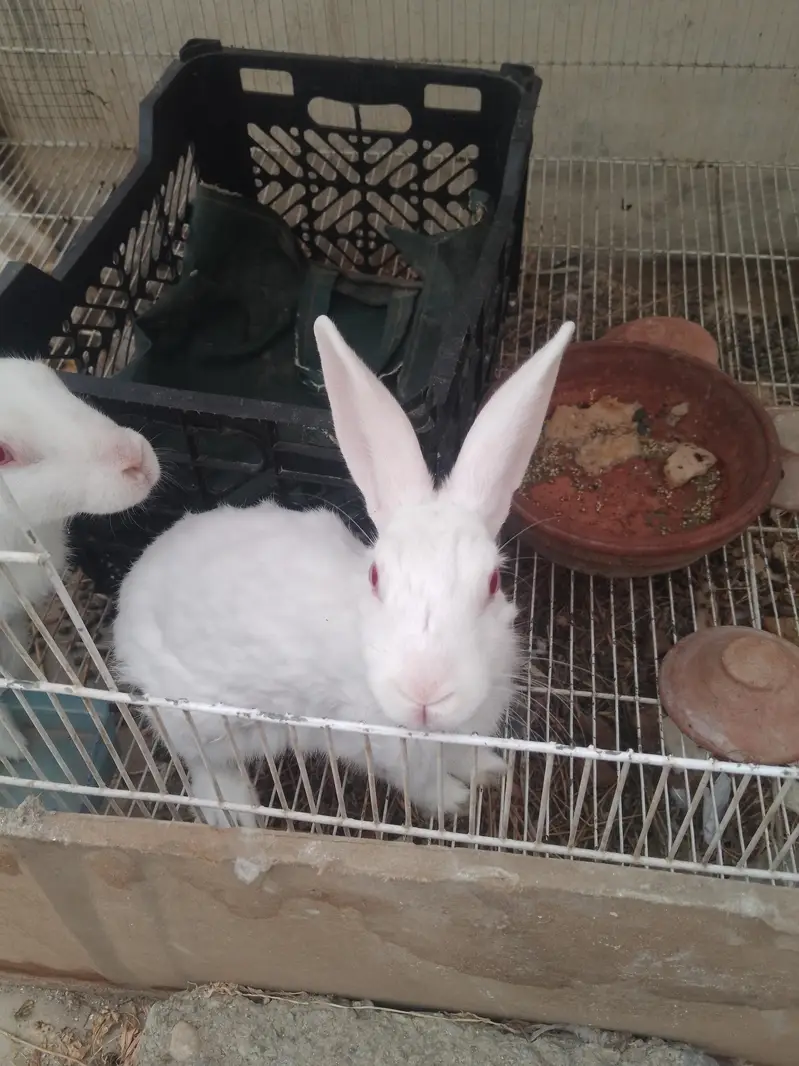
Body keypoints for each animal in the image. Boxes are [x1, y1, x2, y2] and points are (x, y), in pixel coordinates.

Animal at [113, 316, 575, 827]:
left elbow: (463, 757)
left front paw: (490, 771)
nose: (425, 692)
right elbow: (423, 784)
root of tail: (134, 582)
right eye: (375, 579)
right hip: (201, 721)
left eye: (493, 582)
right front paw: (456, 804)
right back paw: (235, 812)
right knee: (204, 762)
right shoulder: (386, 751)